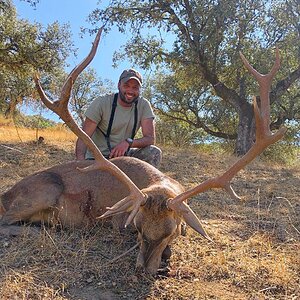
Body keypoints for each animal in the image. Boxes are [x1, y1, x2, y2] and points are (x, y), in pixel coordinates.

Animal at [0, 28, 286, 274]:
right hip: (45, 189)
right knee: (6, 222)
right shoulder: (116, 220)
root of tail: (4, 195)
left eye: (172, 230)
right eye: (136, 226)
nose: (144, 268)